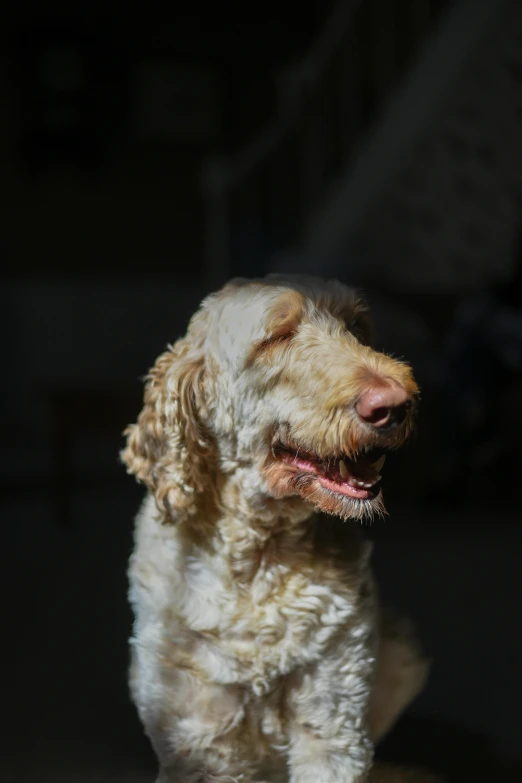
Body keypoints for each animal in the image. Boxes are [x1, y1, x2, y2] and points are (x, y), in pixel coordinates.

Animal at [124, 276, 436, 783]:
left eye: (356, 327)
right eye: (277, 337)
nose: (395, 405)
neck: (261, 559)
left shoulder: (333, 724)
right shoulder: (202, 744)